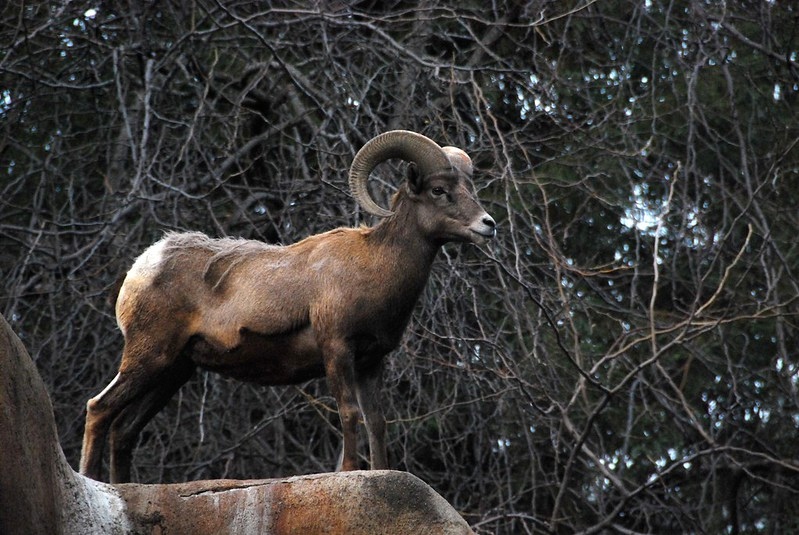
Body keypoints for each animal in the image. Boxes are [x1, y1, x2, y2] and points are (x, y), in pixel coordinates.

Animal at [79, 130, 496, 483]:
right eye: (439, 190)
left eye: (470, 187)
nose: (487, 224)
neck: (375, 266)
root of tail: (143, 266)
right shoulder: (337, 349)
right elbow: (349, 413)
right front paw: (349, 472)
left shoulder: (371, 362)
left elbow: (377, 421)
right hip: (148, 357)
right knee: (99, 408)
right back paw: (91, 481)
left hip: (173, 371)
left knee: (124, 429)